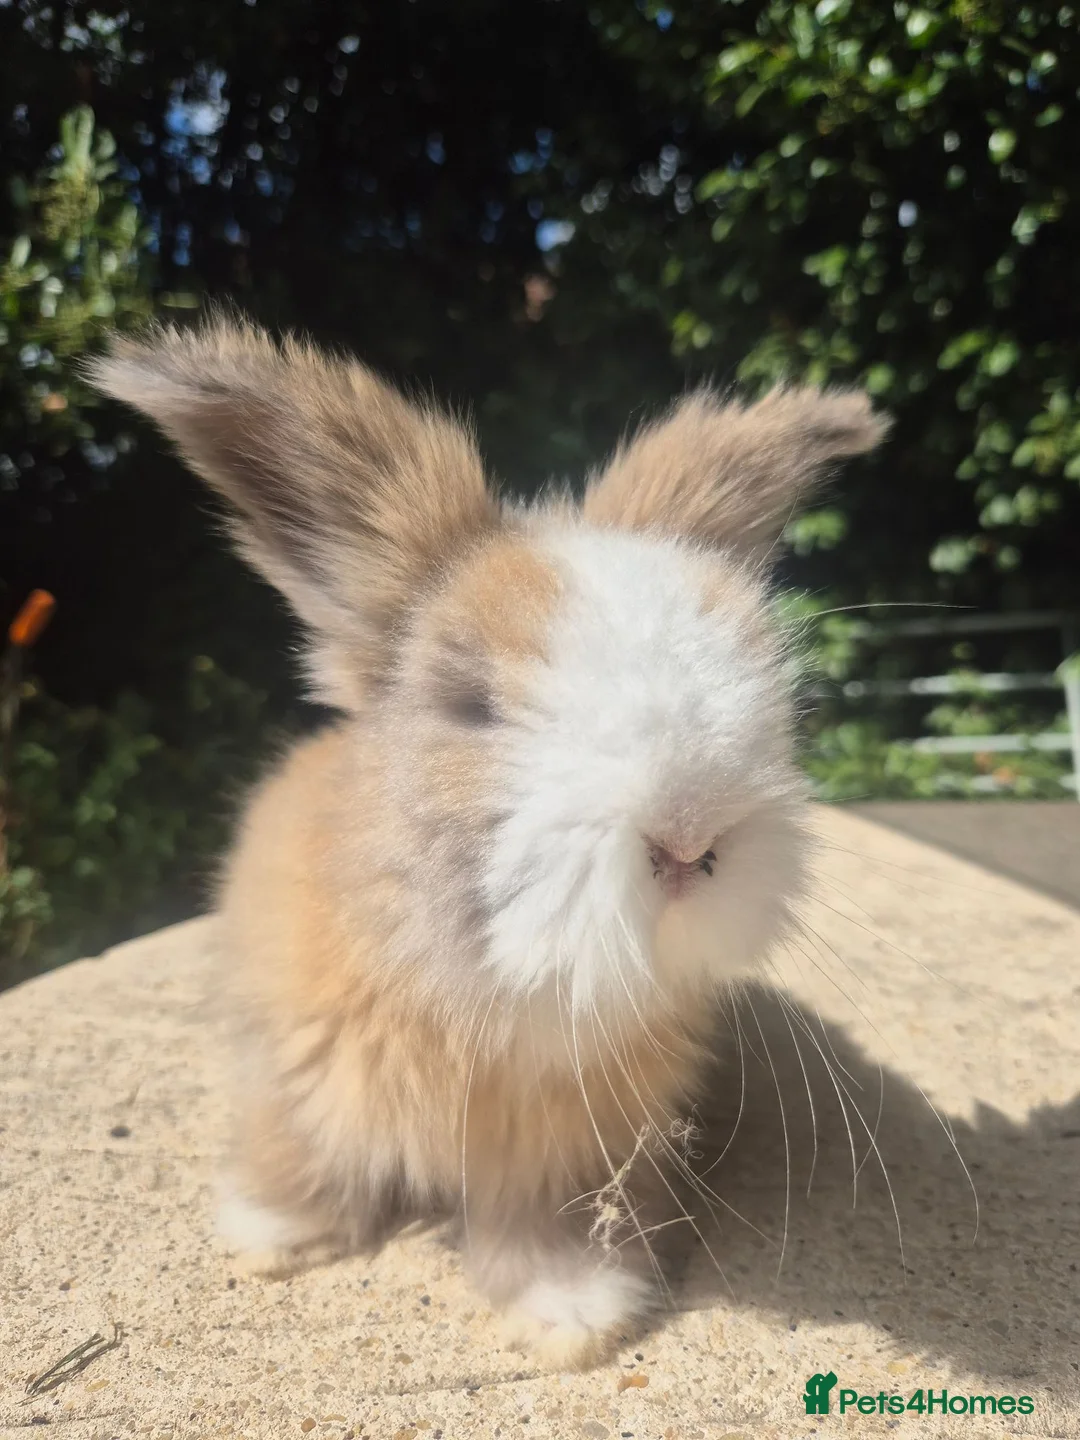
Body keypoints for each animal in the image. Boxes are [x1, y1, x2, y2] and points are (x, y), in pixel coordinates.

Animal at [86, 316, 887, 1369]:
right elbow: (300, 1149)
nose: (688, 838)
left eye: (767, 691)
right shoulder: (297, 1072)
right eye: (471, 707)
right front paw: (274, 1236)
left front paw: (576, 1316)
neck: (493, 989)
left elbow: (545, 1226)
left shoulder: (568, 1153)